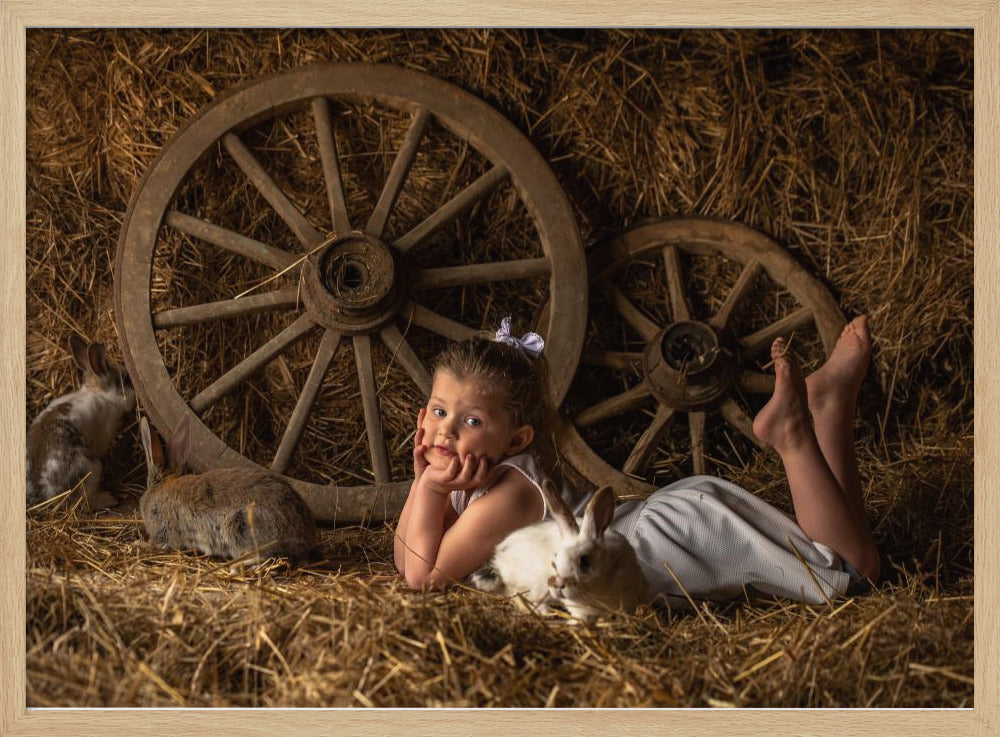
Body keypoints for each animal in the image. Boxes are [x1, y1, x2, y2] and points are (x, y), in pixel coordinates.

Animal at [139, 414, 318, 564]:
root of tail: (303, 540)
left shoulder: (165, 531)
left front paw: (141, 543)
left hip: (240, 528)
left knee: (263, 555)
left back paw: (236, 566)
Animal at [470, 478, 648, 620]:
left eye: (584, 561)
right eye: (555, 559)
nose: (558, 584)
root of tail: (498, 560)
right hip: (537, 585)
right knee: (520, 597)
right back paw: (546, 613)